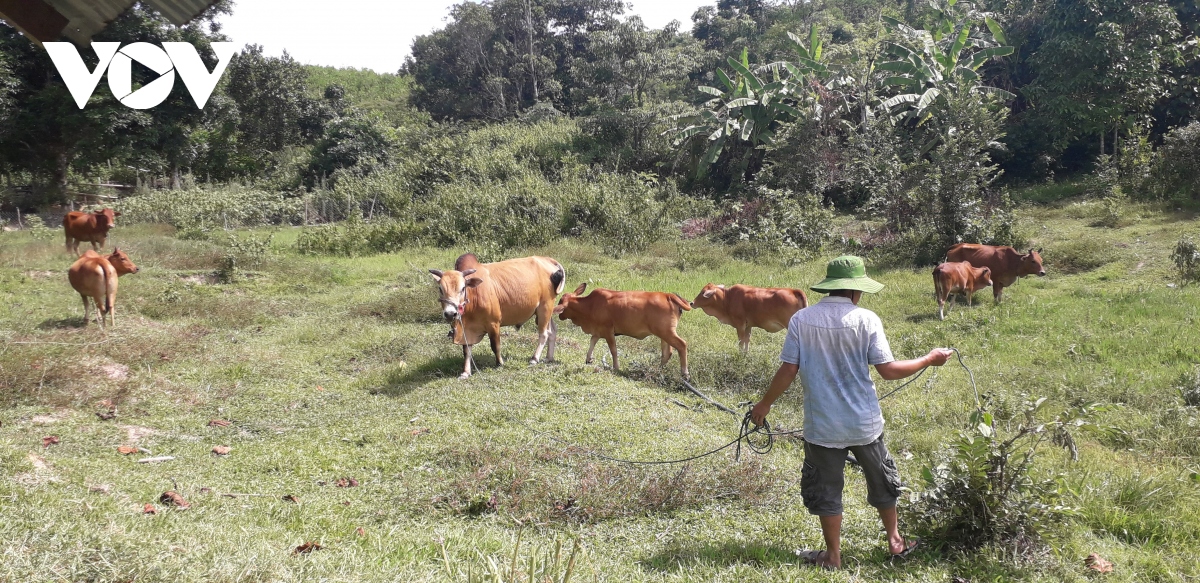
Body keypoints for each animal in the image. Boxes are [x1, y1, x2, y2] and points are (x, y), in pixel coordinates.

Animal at [429, 253, 564, 381]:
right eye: (440, 289)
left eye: (463, 288)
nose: (450, 313)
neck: (473, 296)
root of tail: (548, 260)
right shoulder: (467, 330)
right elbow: (466, 351)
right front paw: (466, 372)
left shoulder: (493, 323)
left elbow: (495, 346)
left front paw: (500, 363)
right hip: (545, 311)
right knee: (552, 331)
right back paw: (549, 357)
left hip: (544, 308)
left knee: (544, 334)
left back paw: (535, 358)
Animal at [552, 281, 696, 379]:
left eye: (560, 302)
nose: (559, 315)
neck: (590, 305)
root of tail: (668, 295)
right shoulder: (598, 331)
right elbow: (592, 342)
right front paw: (588, 359)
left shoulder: (608, 331)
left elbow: (613, 350)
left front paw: (616, 367)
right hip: (663, 334)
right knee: (667, 352)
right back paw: (657, 369)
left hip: (667, 332)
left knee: (682, 345)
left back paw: (685, 373)